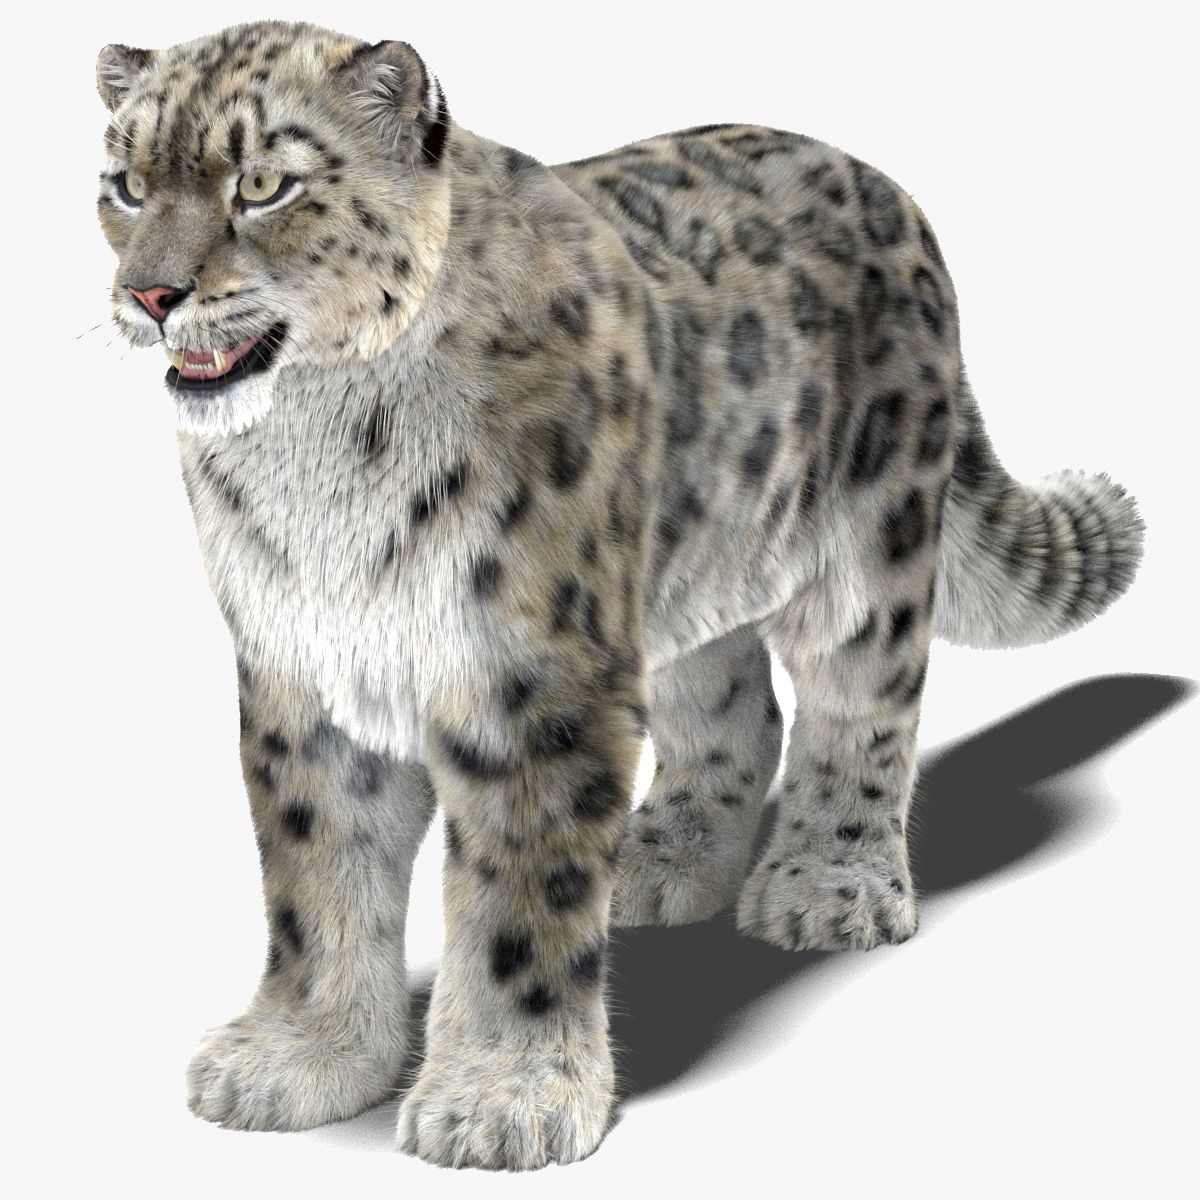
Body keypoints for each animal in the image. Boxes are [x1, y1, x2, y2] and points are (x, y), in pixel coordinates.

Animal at [95, 19, 1144, 1171]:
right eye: (126, 184)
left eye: (263, 184)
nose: (151, 294)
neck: (314, 447)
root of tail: (887, 188)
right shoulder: (306, 674)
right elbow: (316, 873)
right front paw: (301, 1058)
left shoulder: (528, 679)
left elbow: (519, 897)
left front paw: (502, 1100)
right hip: (680, 580)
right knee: (735, 709)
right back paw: (665, 858)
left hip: (867, 553)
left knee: (860, 708)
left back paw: (828, 886)